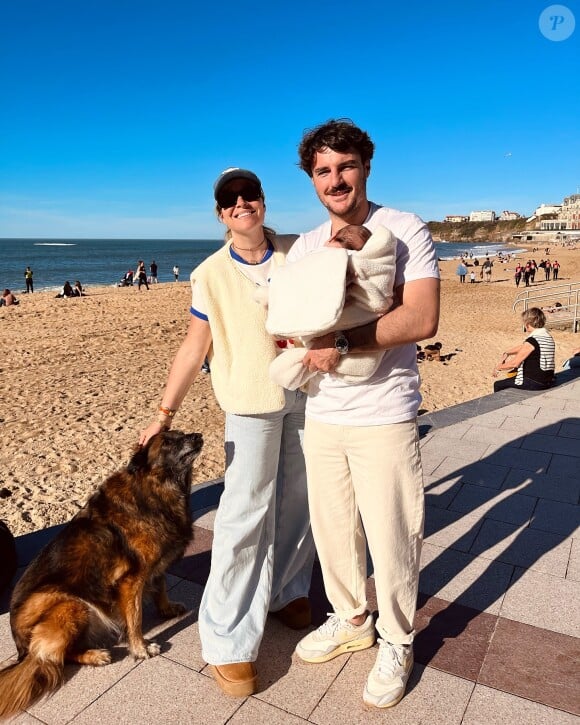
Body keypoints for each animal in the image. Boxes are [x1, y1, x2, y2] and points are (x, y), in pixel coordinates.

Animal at [0, 430, 204, 720]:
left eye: (182, 433)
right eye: (166, 442)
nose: (197, 436)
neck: (156, 488)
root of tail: (20, 648)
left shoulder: (152, 568)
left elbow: (161, 585)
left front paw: (166, 609)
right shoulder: (131, 580)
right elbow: (135, 618)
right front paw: (141, 649)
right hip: (70, 604)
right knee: (53, 657)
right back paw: (95, 655)